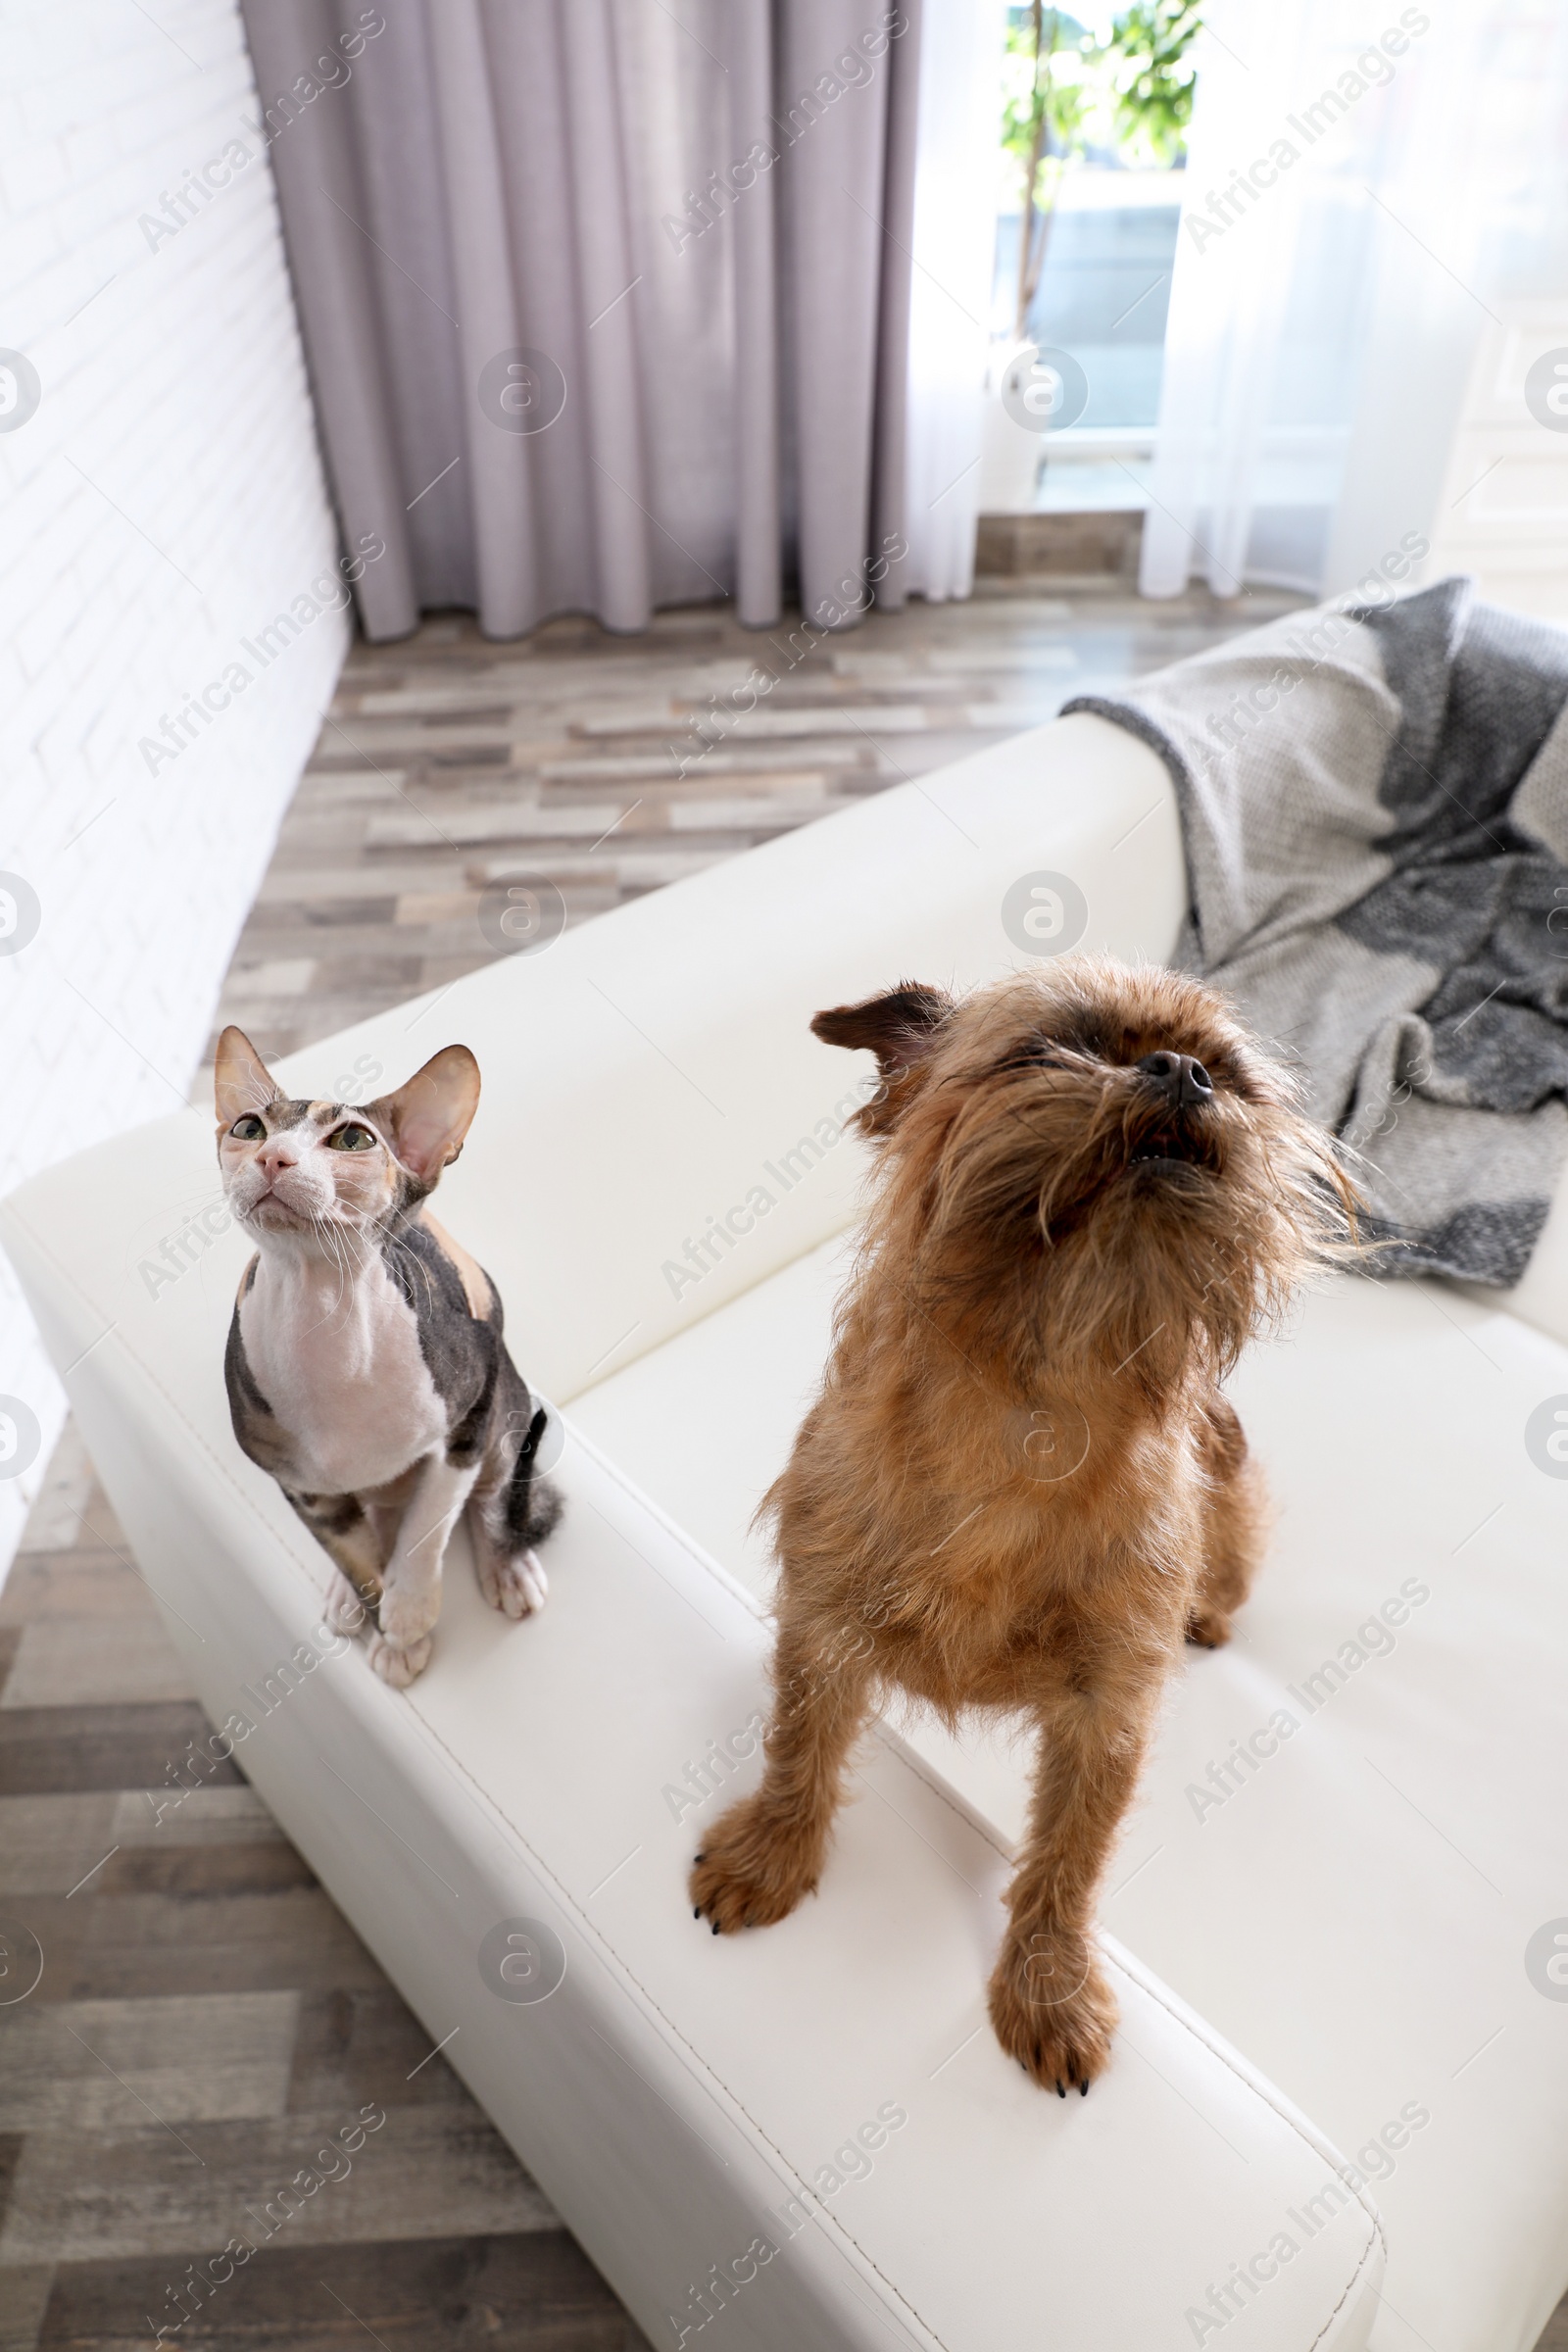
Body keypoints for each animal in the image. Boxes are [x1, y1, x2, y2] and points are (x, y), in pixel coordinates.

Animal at [691, 955, 1353, 2097]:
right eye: (1049, 1050)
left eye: (1225, 1073)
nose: (1180, 1072)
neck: (1035, 1399)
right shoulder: (820, 1622)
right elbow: (796, 1745)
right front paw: (771, 1853)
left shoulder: (1106, 1712)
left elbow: (1069, 1859)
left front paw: (1048, 1987)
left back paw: (1213, 1616)